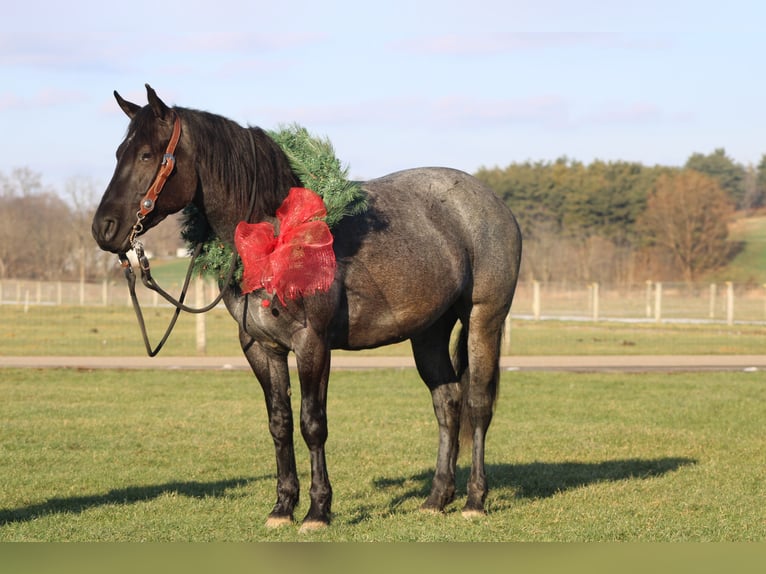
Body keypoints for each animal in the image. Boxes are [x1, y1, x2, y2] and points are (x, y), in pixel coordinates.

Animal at [91, 85, 522, 530]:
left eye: (146, 155)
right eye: (119, 152)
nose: (104, 228)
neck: (273, 236)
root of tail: (492, 203)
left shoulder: (312, 344)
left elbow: (312, 423)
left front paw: (318, 509)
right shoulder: (261, 348)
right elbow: (279, 424)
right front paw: (283, 506)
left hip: (483, 321)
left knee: (478, 404)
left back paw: (475, 499)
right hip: (429, 333)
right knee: (447, 403)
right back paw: (436, 498)